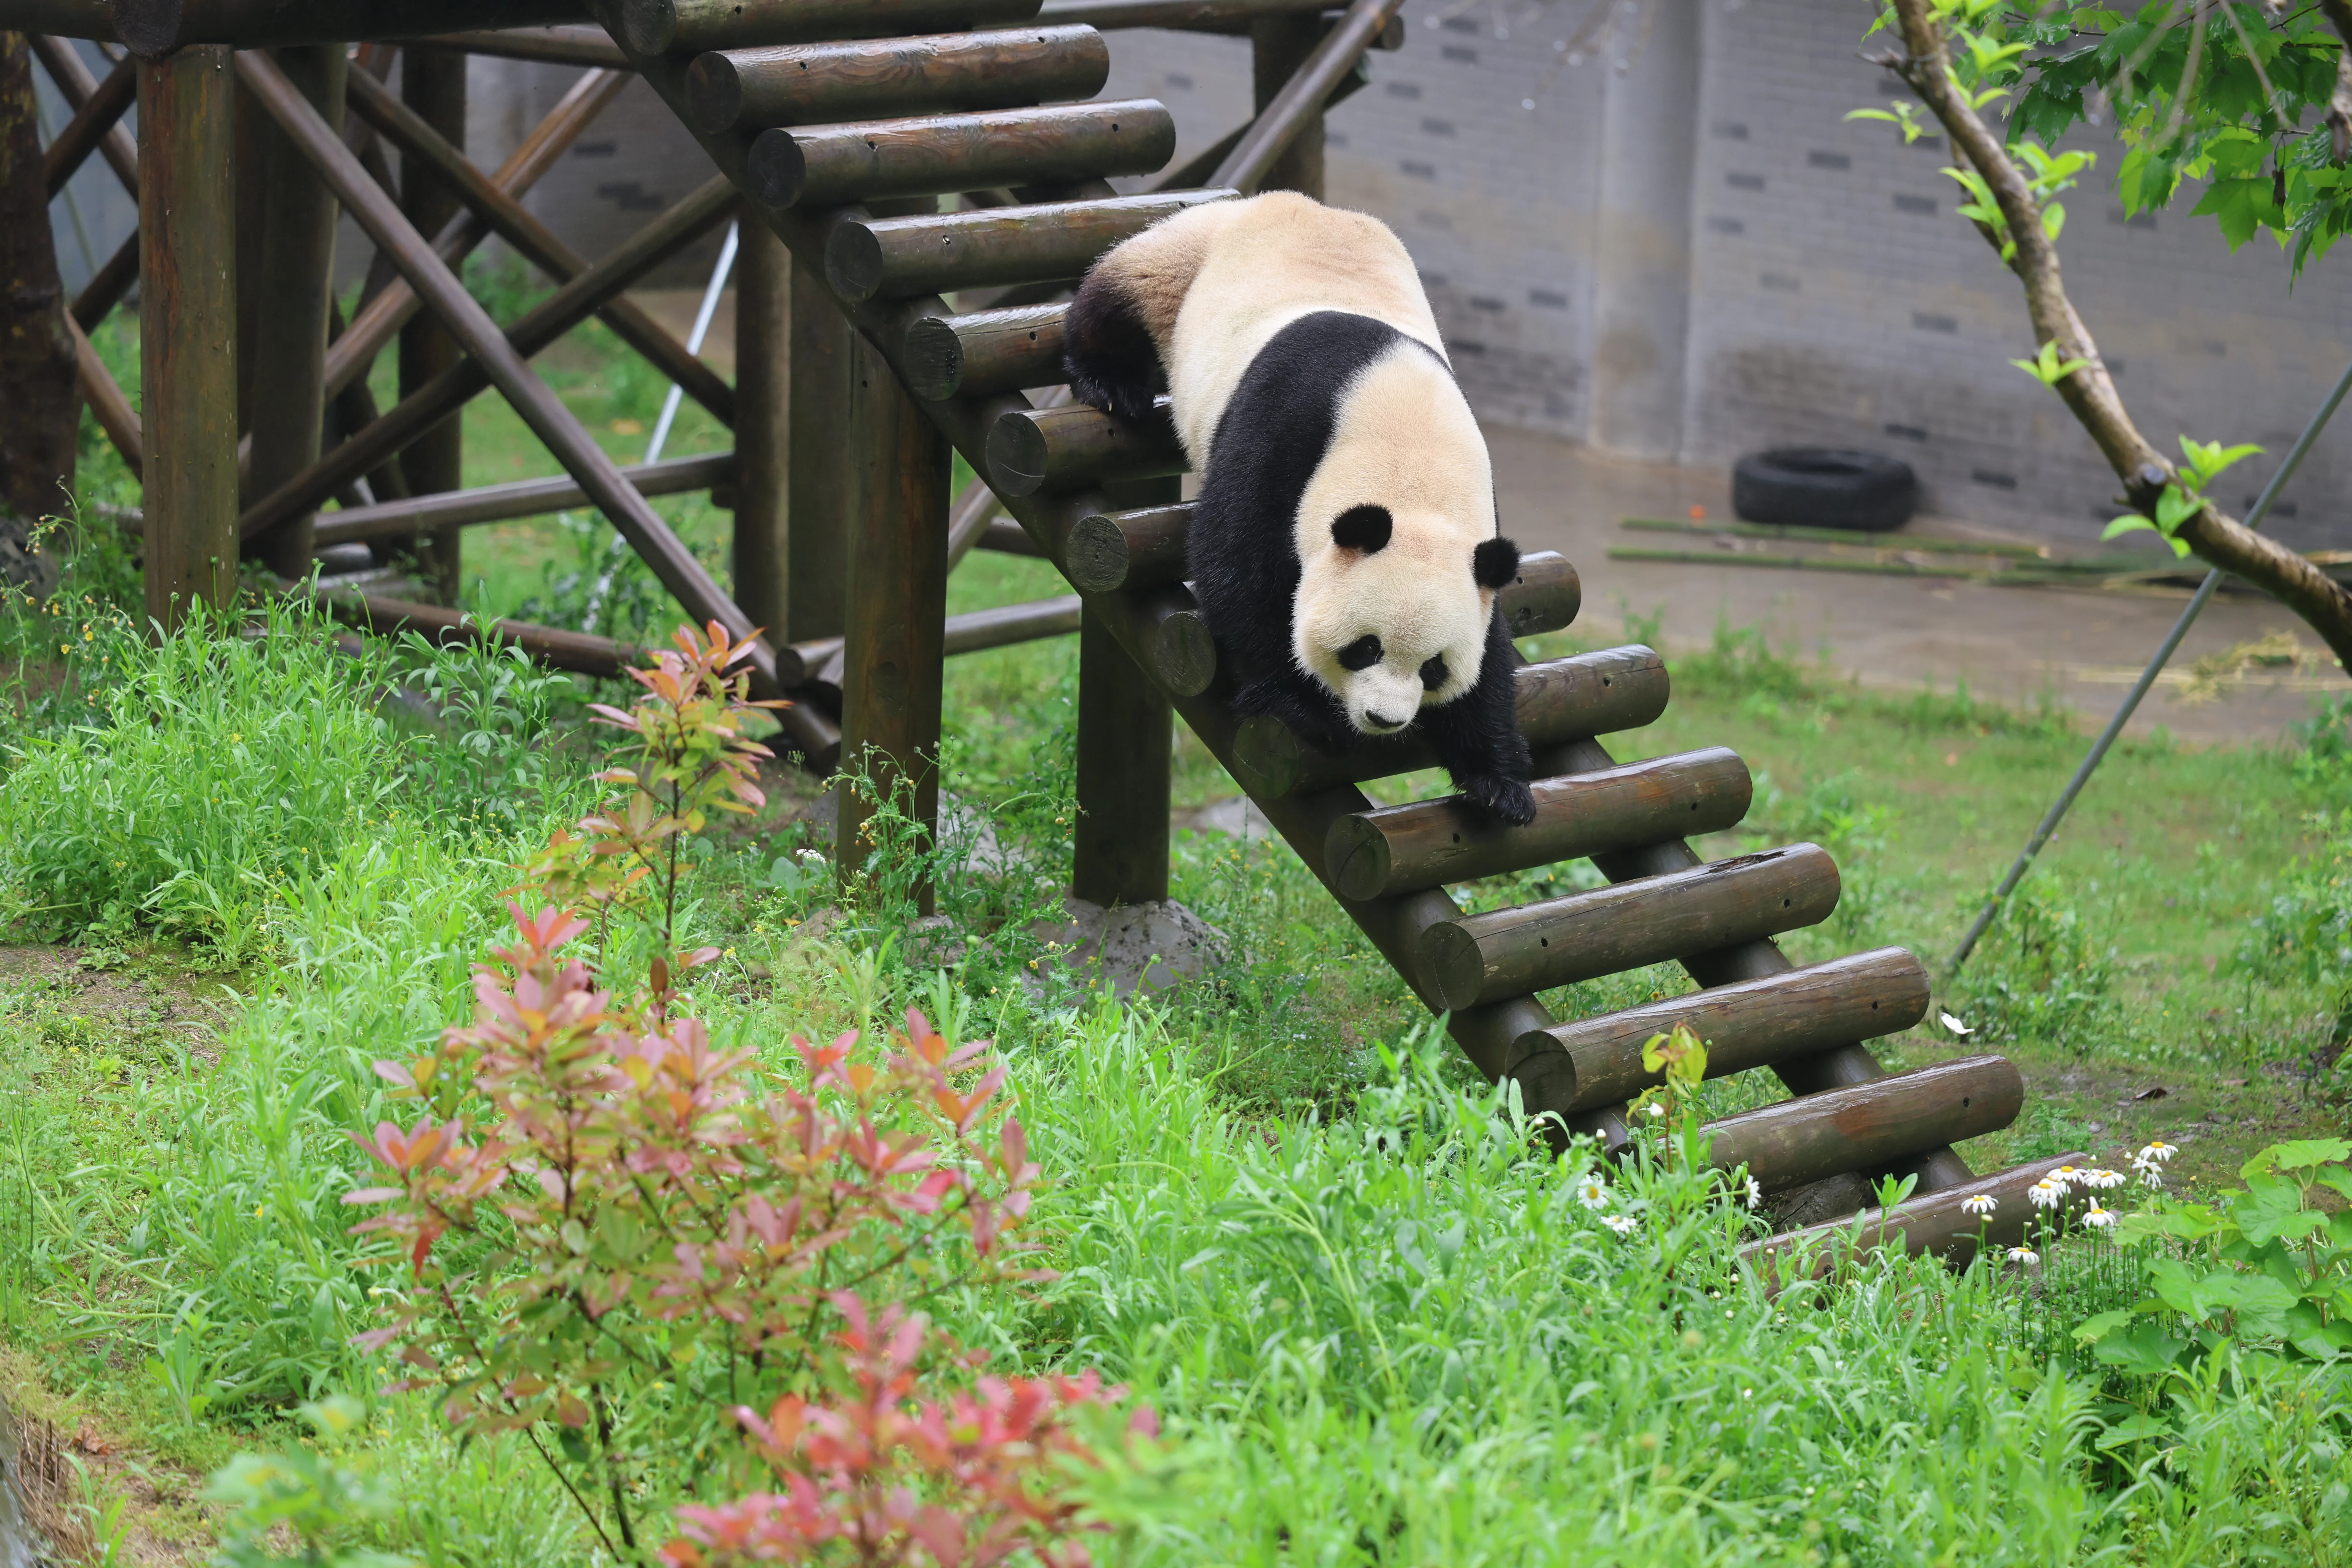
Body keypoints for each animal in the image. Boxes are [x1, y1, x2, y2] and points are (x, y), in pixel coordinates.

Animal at [1062, 190, 1536, 826]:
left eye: (1434, 667)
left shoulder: (1475, 534)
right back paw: (1111, 383)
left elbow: (1492, 648)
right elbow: (1240, 568)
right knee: (1119, 294)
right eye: (1365, 648)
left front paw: (1499, 784)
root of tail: (1293, 201)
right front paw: (1300, 705)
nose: (1384, 719)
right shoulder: (1286, 434)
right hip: (1185, 259)